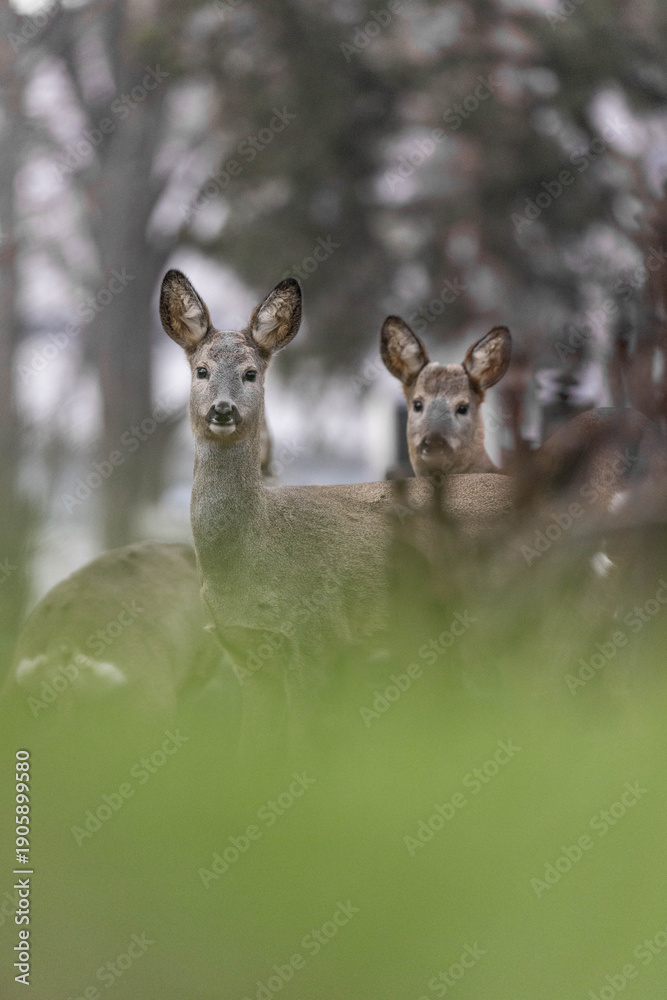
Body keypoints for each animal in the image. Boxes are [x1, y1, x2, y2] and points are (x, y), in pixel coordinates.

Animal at [158, 270, 516, 751]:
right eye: (202, 370)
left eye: (251, 373)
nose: (223, 409)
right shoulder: (242, 651)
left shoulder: (321, 635)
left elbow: (304, 744)